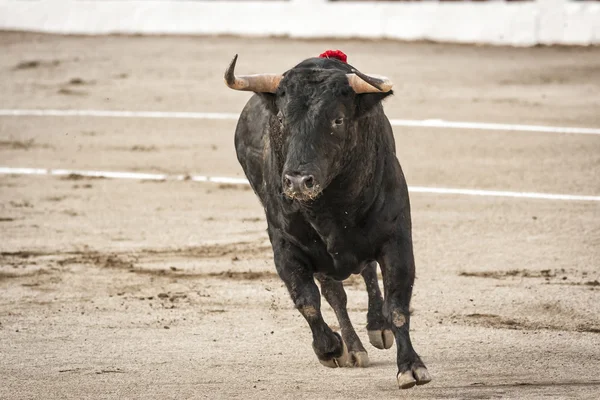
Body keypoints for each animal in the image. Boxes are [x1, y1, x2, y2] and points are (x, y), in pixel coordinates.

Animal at [225, 54, 432, 390]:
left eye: (337, 120)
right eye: (280, 119)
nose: (298, 181)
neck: (330, 209)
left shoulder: (396, 239)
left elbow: (397, 303)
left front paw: (411, 367)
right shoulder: (285, 247)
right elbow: (308, 301)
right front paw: (332, 349)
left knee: (367, 274)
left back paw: (377, 327)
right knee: (336, 294)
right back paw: (354, 348)